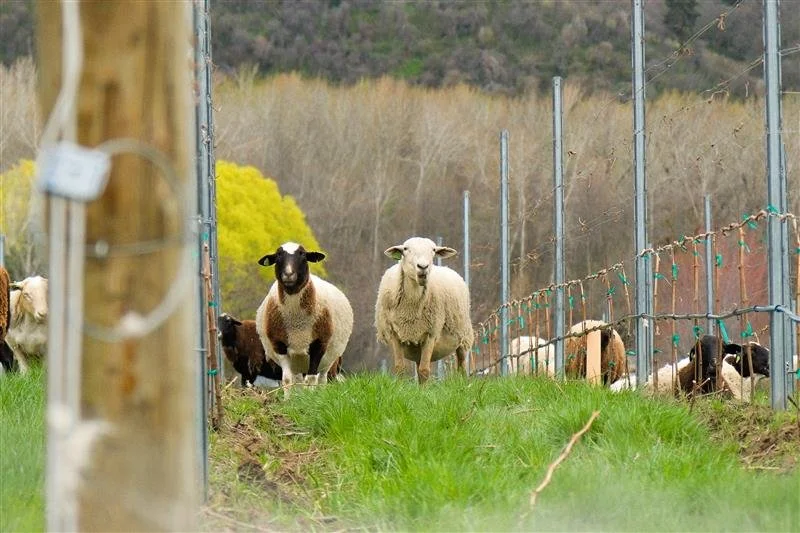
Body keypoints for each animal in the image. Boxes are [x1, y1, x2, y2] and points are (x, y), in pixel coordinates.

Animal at [255, 242, 353, 395]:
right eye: (278, 255)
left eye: (302, 254)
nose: (288, 274)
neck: (297, 321)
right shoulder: (279, 345)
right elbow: (287, 380)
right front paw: (289, 400)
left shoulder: (319, 345)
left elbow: (312, 378)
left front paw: (312, 398)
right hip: (297, 360)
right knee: (298, 380)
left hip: (329, 359)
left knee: (322, 379)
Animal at [375, 236, 473, 384]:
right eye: (405, 249)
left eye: (433, 250)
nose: (423, 267)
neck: (410, 308)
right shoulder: (395, 333)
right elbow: (400, 368)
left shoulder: (430, 334)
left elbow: (424, 370)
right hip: (417, 346)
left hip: (463, 336)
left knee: (461, 366)